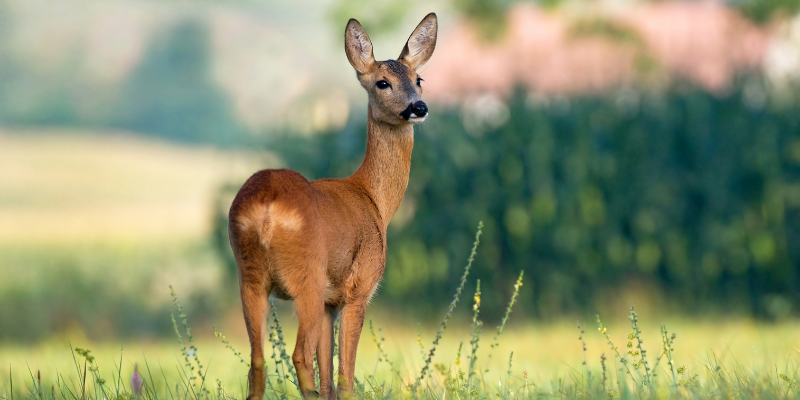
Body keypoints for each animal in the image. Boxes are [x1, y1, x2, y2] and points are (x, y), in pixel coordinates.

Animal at [227, 13, 438, 400]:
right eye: (382, 82)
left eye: (419, 79)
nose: (419, 107)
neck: (374, 199)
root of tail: (266, 206)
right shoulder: (358, 289)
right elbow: (344, 378)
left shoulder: (330, 304)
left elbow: (329, 379)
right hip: (307, 276)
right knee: (298, 356)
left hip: (249, 275)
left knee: (257, 362)